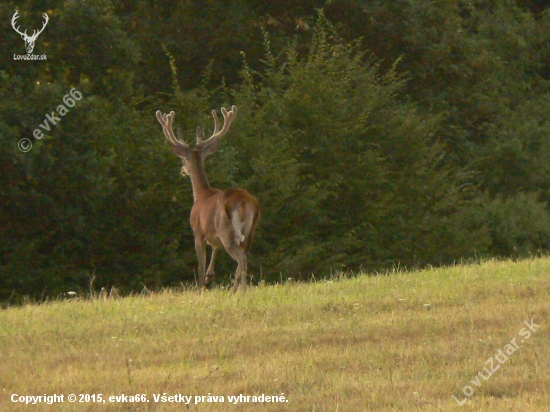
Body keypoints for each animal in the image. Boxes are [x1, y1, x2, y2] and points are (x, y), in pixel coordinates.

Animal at [154, 106, 260, 292]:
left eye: (183, 158)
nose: (183, 170)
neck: (201, 194)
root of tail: (244, 202)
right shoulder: (213, 235)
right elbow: (215, 249)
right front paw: (210, 277)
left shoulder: (197, 230)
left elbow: (201, 267)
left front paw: (200, 288)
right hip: (250, 231)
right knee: (245, 257)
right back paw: (240, 289)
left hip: (227, 230)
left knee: (241, 259)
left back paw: (237, 291)